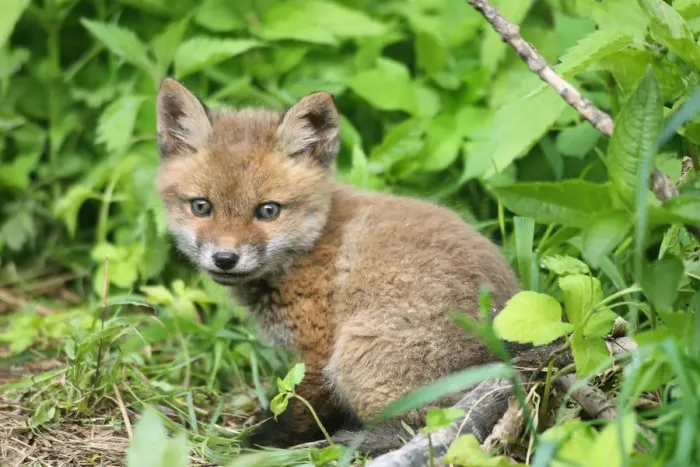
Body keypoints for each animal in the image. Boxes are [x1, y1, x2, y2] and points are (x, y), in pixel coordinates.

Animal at [154, 77, 523, 455]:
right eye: (201, 206)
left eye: (268, 210)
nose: (225, 259)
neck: (312, 245)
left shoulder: (318, 350)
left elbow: (299, 408)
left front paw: (262, 442)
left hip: (357, 356)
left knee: (417, 426)